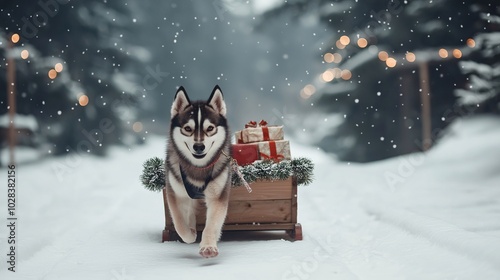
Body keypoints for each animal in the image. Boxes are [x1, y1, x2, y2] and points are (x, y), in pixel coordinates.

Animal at [166, 85, 232, 258]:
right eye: (188, 128)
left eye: (210, 128)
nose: (199, 147)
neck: (198, 167)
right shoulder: (175, 192)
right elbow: (179, 223)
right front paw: (189, 234)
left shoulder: (217, 195)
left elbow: (212, 224)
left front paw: (208, 246)